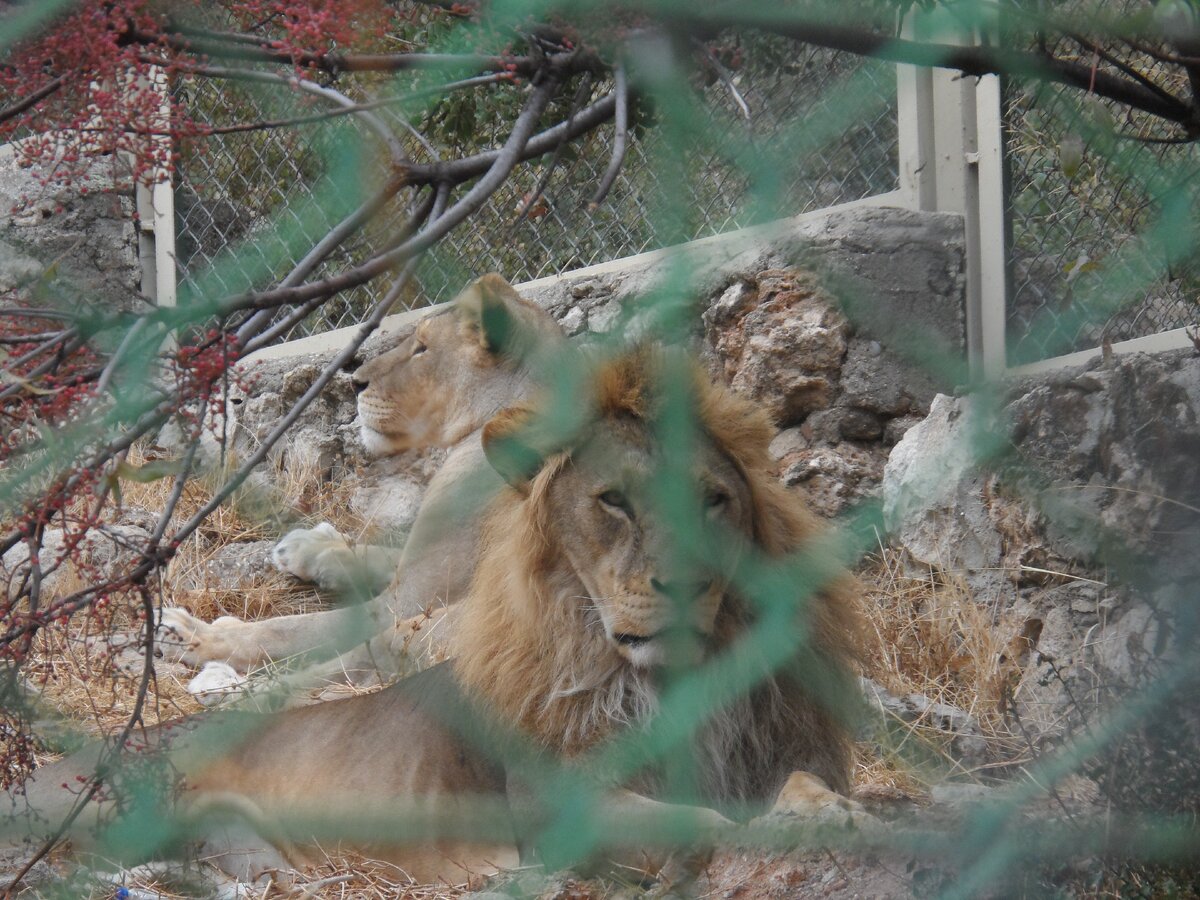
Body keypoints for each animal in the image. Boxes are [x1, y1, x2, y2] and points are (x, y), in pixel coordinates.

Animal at [11, 348, 873, 888]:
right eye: (614, 502)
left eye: (715, 500)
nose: (692, 582)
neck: (670, 686)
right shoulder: (563, 807)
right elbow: (707, 824)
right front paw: (804, 822)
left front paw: (828, 807)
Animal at [160, 274, 566, 681]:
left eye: (422, 348)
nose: (354, 382)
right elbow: (381, 554)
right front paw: (312, 547)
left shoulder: (411, 601)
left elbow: (291, 629)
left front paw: (197, 635)